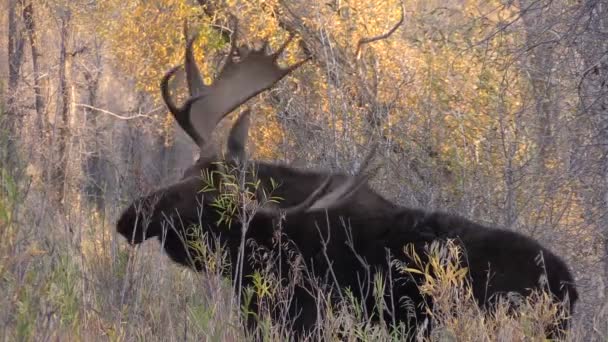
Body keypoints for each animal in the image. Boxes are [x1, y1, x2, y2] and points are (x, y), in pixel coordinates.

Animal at [117, 22, 580, 340]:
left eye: (203, 198)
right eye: (183, 174)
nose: (128, 217)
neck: (258, 253)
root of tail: (571, 290)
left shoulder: (305, 319)